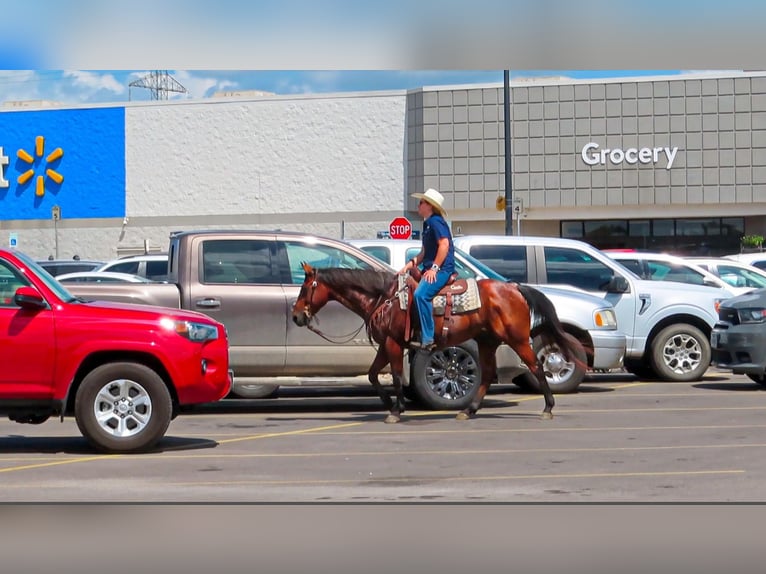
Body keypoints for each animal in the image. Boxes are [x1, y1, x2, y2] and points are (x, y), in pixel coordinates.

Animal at [292, 264, 584, 426]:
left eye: (304, 288)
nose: (296, 316)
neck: (384, 298)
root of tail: (513, 287)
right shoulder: (386, 344)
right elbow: (374, 374)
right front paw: (388, 403)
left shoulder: (394, 343)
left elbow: (395, 375)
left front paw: (396, 409)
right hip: (487, 340)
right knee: (487, 374)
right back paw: (469, 410)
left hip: (517, 339)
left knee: (535, 366)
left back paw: (547, 408)